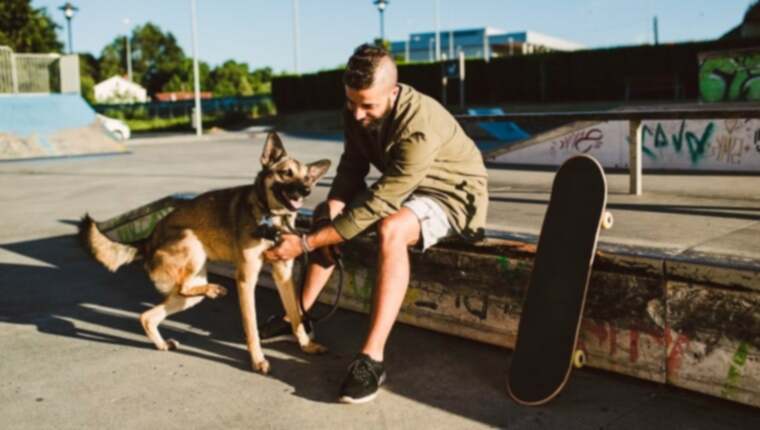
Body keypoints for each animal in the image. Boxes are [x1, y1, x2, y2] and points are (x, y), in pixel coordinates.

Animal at [78, 133, 332, 374]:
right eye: (286, 173)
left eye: (307, 178)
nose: (306, 190)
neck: (271, 218)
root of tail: (148, 240)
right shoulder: (246, 279)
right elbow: (251, 326)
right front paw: (258, 360)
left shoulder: (284, 276)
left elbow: (296, 315)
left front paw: (306, 345)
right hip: (192, 243)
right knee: (181, 289)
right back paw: (214, 289)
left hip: (189, 295)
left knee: (148, 316)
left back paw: (163, 341)